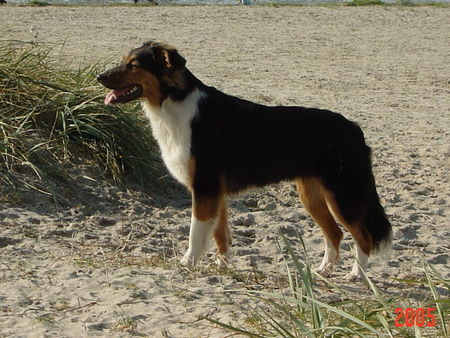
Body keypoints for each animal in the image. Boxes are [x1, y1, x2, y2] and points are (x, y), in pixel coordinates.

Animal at [97, 41, 390, 282]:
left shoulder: (204, 188)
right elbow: (220, 234)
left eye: (133, 65)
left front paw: (188, 263)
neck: (174, 103)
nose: (99, 77)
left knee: (363, 236)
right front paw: (222, 266)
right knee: (335, 234)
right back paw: (323, 271)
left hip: (343, 196)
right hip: (312, 196)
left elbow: (196, 232)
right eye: (123, 61)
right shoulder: (216, 194)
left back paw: (357, 275)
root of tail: (353, 128)